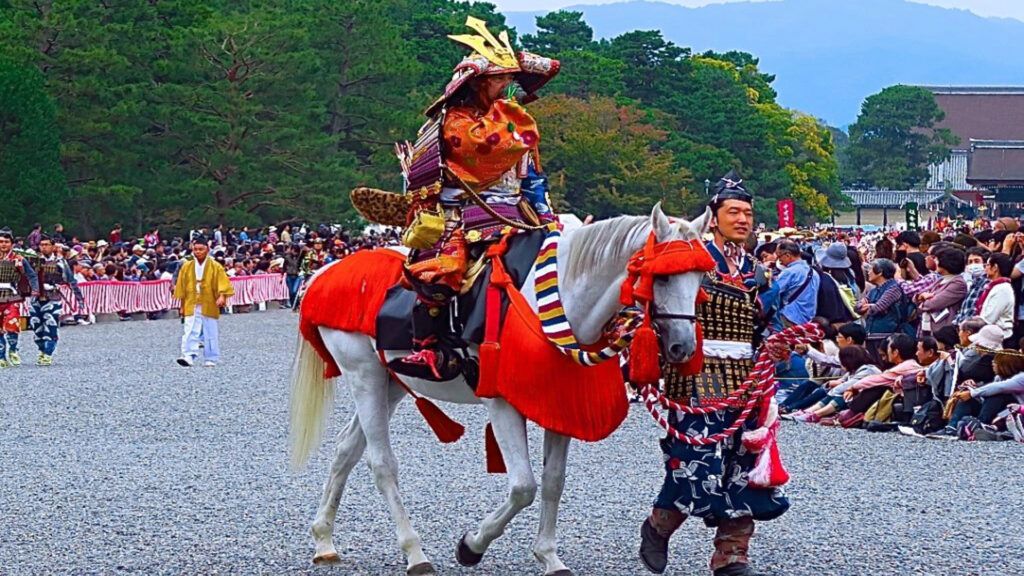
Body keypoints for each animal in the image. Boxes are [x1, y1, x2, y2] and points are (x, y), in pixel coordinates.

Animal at [288, 203, 712, 569]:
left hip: (389, 380)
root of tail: (324, 274)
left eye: (700, 279)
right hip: (363, 374)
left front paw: (549, 557)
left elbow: (553, 481)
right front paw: (472, 546)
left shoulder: (561, 402)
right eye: (663, 276)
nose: (682, 346)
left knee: (347, 449)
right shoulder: (503, 402)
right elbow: (524, 486)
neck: (556, 300)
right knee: (381, 463)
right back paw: (414, 552)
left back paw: (324, 539)